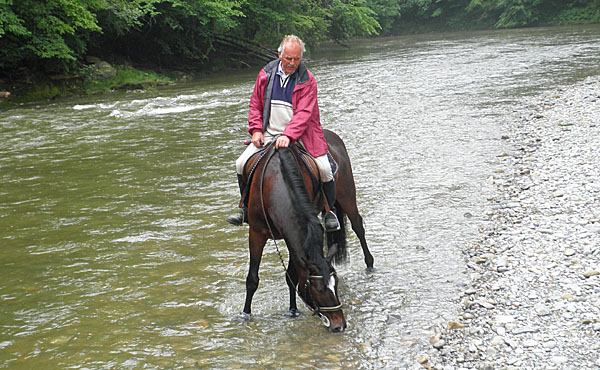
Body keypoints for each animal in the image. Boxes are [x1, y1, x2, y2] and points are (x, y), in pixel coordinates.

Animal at [240, 129, 372, 330]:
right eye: (318, 290)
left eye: (335, 285)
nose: (339, 325)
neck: (275, 181)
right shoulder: (256, 232)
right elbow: (252, 278)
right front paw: (245, 314)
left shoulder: (292, 237)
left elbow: (292, 277)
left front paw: (293, 310)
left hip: (347, 195)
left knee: (358, 226)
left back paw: (370, 264)